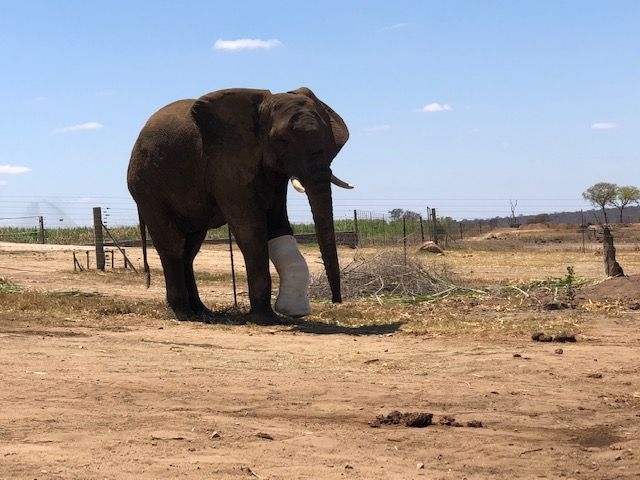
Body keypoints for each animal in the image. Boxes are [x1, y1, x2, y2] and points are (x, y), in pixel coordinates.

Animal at [127, 87, 351, 322]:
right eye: (282, 140)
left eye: (327, 138)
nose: (336, 300)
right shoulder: (225, 163)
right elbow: (250, 229)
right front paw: (265, 319)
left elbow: (278, 222)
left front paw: (293, 312)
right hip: (147, 189)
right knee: (172, 245)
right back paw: (185, 313)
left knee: (190, 248)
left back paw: (203, 311)